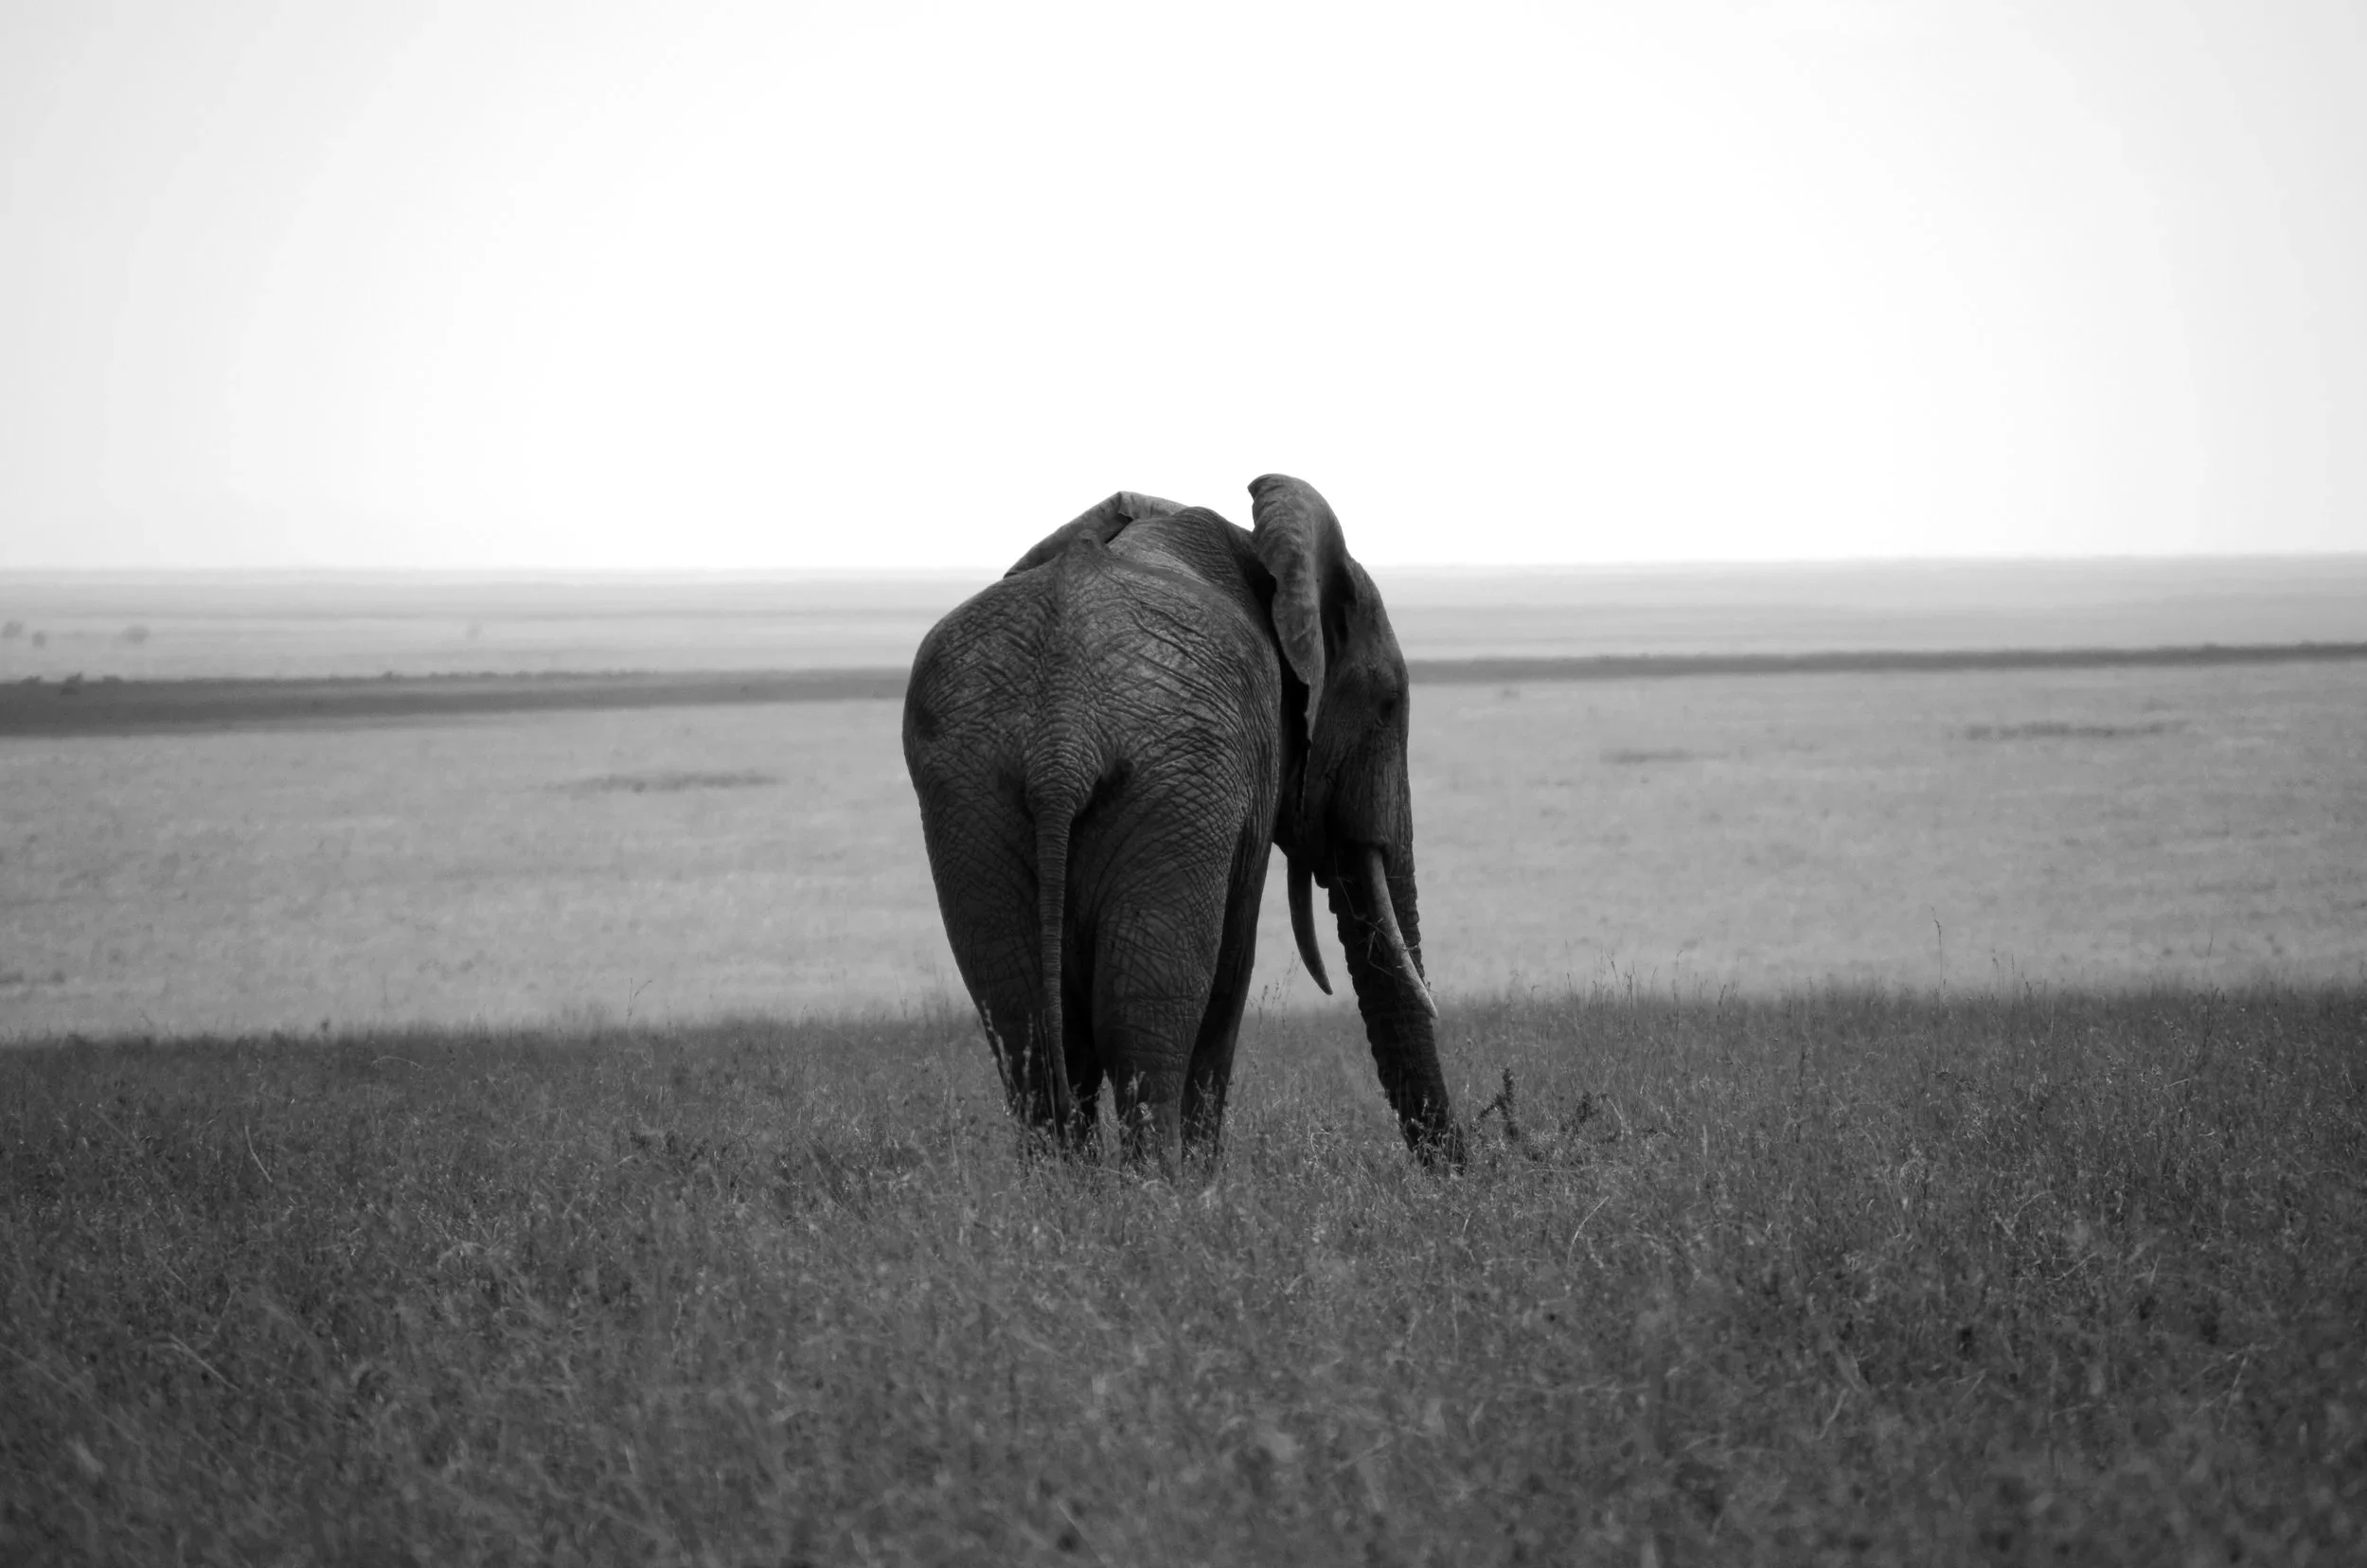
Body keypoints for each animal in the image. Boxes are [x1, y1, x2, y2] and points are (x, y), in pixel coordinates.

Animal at [901, 474, 1464, 1171]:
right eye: (1388, 706)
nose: (1463, 1173)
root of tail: (1062, 741)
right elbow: (1228, 975)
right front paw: (1202, 1184)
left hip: (972, 794)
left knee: (1025, 1023)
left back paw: (1066, 1192)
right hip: (1174, 786)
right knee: (1147, 1018)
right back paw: (1161, 1191)